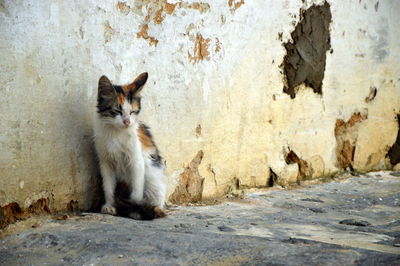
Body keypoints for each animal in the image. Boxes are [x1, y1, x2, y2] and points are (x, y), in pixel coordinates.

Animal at [93, 71, 166, 219]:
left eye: (133, 112)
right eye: (117, 111)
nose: (127, 122)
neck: (116, 132)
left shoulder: (136, 161)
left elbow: (136, 191)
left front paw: (135, 208)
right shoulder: (105, 162)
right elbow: (108, 186)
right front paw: (109, 206)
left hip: (154, 179)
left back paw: (156, 209)